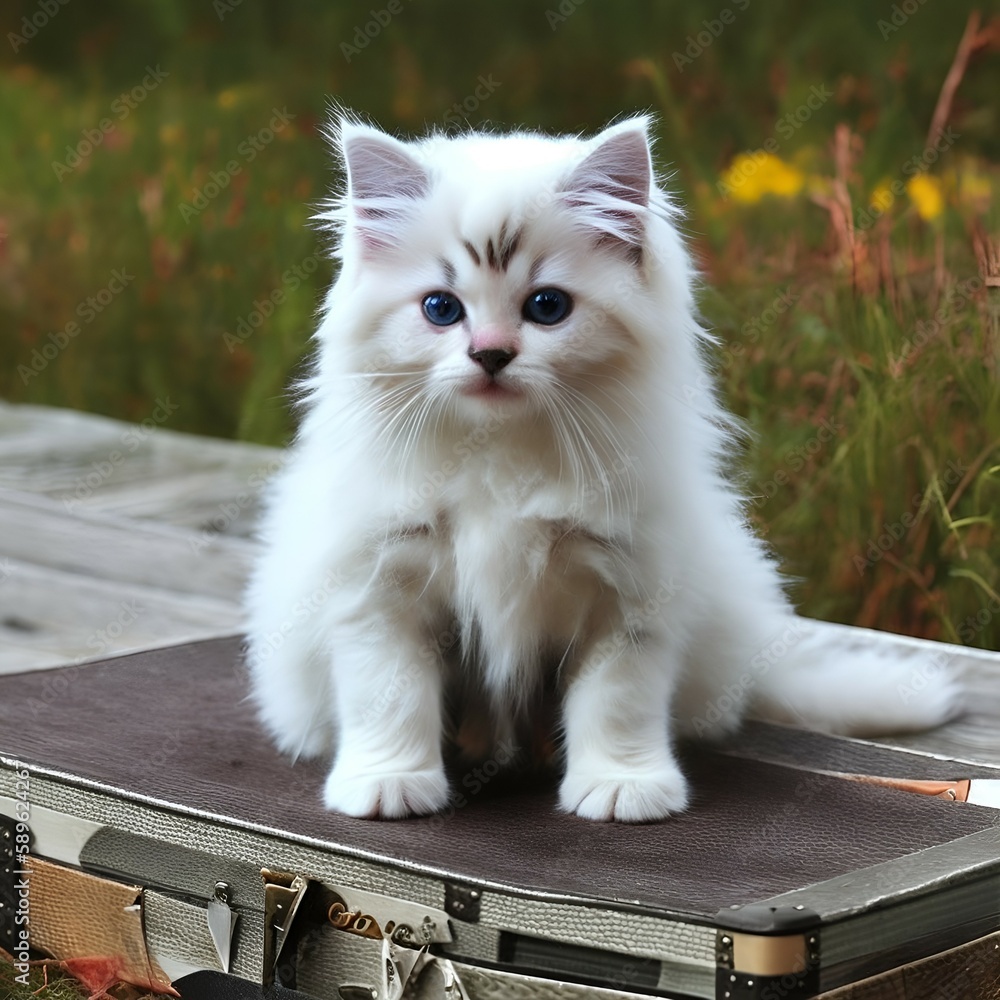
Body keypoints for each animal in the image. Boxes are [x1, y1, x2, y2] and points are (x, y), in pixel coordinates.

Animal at [244, 115, 960, 820]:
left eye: (547, 307)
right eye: (441, 309)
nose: (491, 355)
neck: (502, 454)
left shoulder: (630, 594)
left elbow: (618, 702)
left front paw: (623, 787)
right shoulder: (378, 589)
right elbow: (389, 697)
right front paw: (388, 782)